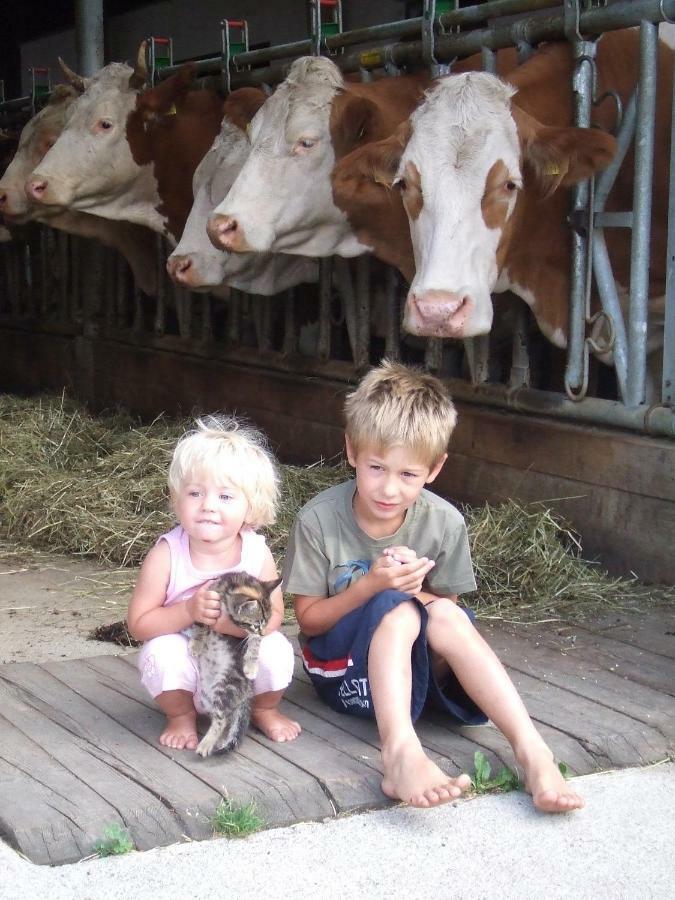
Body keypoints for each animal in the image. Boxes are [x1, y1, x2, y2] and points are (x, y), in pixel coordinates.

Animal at [187, 572, 280, 756]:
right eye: (256, 624)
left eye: (267, 622)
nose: (264, 633)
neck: (233, 585)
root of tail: (247, 690)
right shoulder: (209, 598)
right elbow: (200, 622)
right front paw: (196, 643)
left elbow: (255, 641)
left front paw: (251, 665)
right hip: (208, 695)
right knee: (224, 716)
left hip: (226, 684)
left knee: (222, 718)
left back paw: (206, 745)